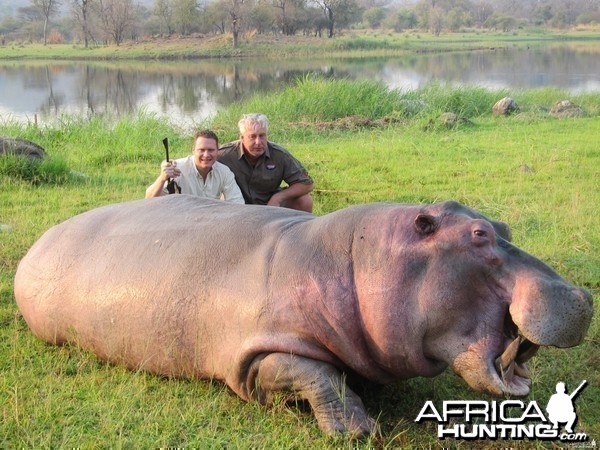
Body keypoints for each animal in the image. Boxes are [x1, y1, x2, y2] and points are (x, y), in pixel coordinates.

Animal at [12, 195, 592, 434]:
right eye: (479, 235)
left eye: (503, 226)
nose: (584, 296)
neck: (358, 260)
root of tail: (36, 243)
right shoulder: (253, 356)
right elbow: (318, 377)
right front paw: (356, 431)